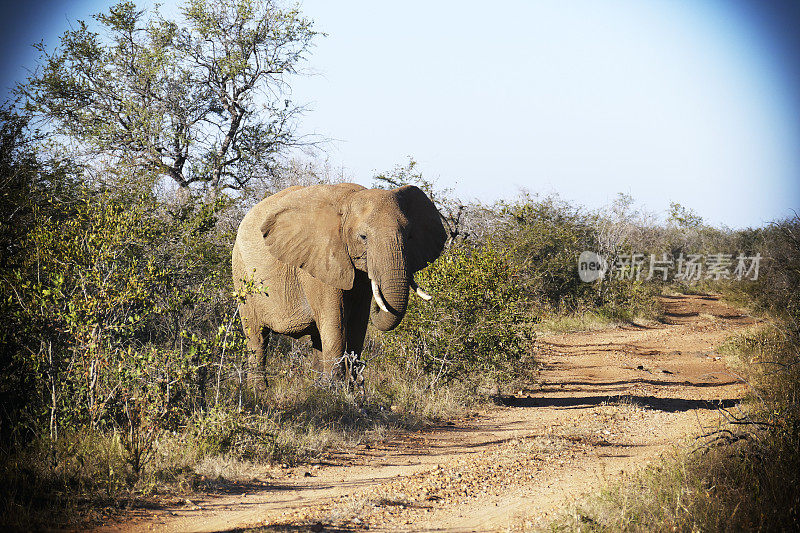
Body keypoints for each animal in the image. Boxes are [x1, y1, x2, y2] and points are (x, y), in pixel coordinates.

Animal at [231, 181, 446, 388]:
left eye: (409, 236)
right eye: (363, 237)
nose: (380, 305)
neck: (349, 199)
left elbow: (358, 322)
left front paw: (351, 388)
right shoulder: (320, 261)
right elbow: (335, 320)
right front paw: (336, 391)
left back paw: (317, 385)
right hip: (242, 276)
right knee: (257, 336)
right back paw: (259, 391)